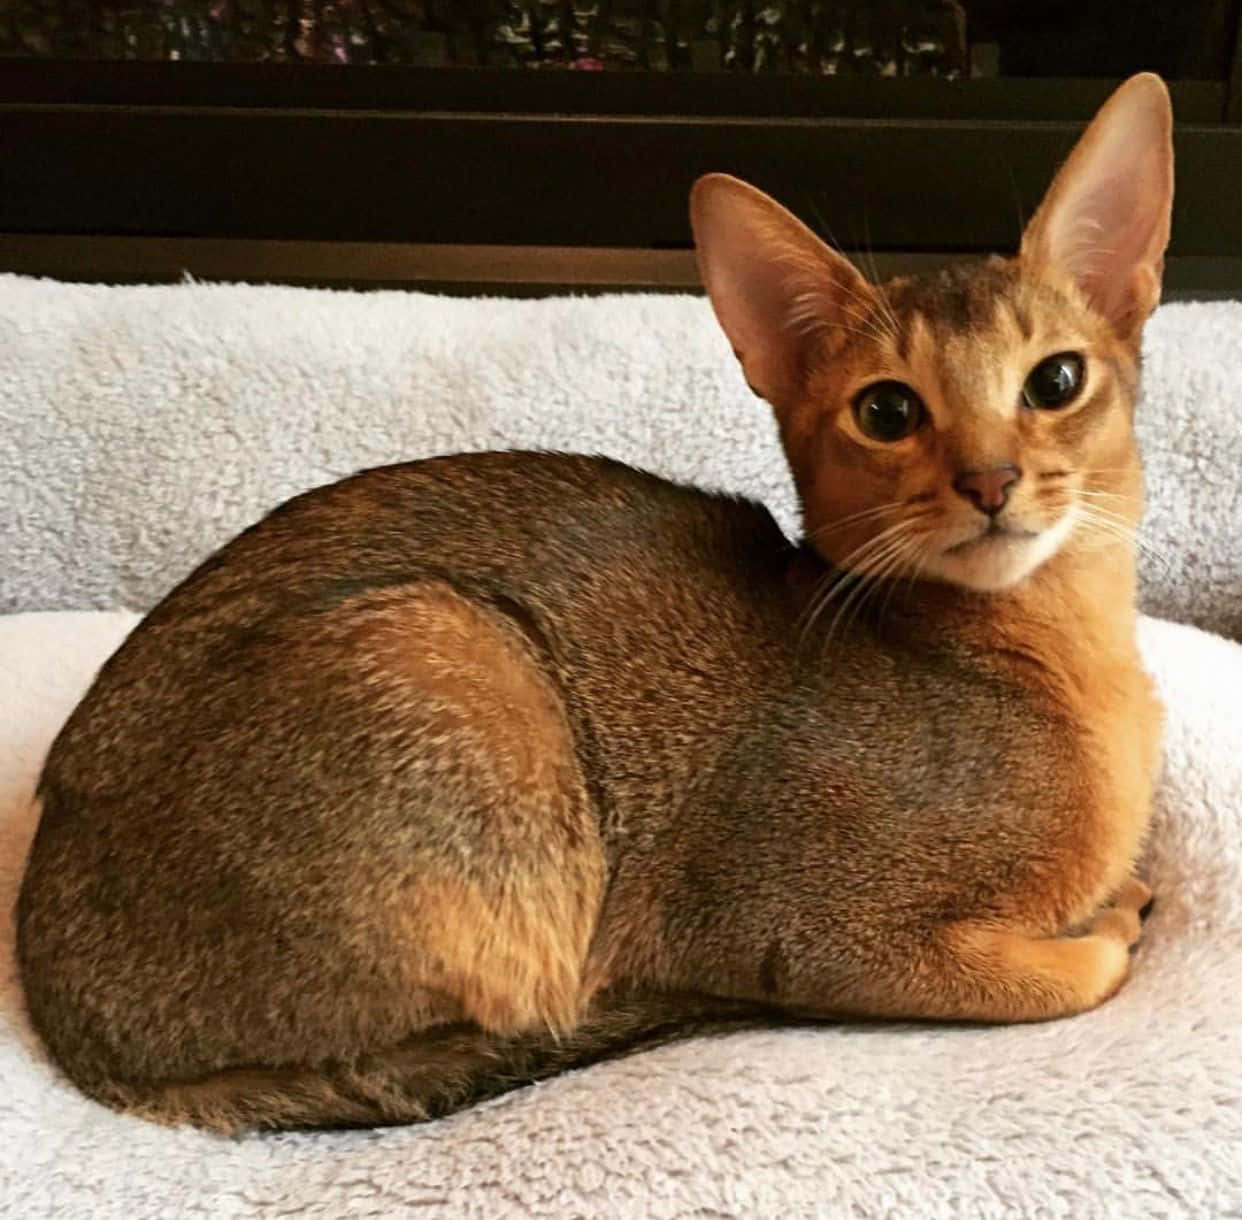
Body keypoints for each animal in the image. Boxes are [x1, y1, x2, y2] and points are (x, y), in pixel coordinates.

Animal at [14, 71, 1167, 1138]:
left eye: (1056, 380)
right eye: (887, 410)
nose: (990, 479)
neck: (1059, 664)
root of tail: (59, 1001)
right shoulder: (803, 932)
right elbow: (1058, 978)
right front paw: (1104, 924)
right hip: (439, 654)